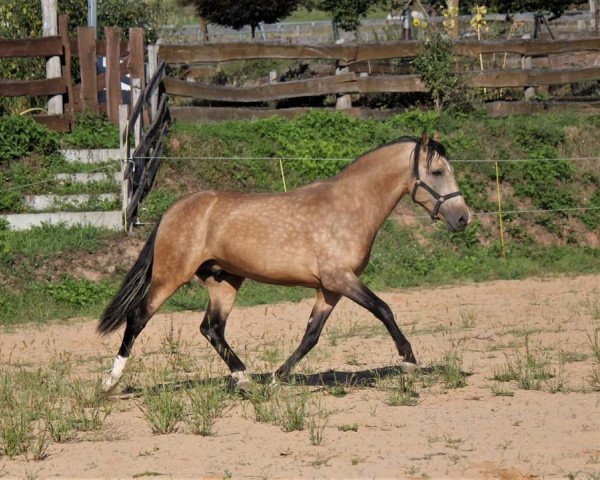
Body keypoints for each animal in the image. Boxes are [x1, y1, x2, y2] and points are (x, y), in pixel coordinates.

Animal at [98, 130, 472, 390]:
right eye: (437, 172)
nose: (463, 218)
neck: (349, 207)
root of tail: (172, 211)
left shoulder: (330, 289)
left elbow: (311, 335)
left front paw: (278, 377)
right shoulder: (341, 279)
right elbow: (384, 309)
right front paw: (409, 361)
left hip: (224, 282)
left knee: (211, 329)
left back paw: (245, 378)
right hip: (169, 277)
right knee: (138, 317)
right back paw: (110, 382)